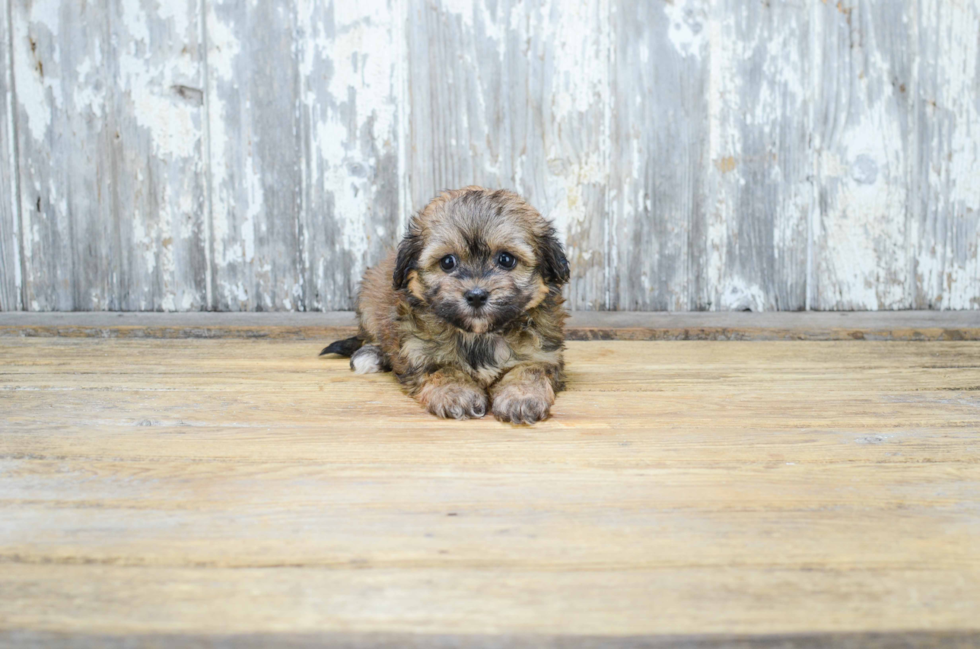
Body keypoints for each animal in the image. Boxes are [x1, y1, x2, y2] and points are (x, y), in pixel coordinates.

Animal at [320, 186, 568, 426]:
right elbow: (442, 369)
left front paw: (521, 396)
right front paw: (457, 392)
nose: (476, 296)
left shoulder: (543, 353)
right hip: (369, 303)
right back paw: (371, 355)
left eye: (506, 260)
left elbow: (531, 369)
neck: (479, 336)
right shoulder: (418, 351)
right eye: (448, 262)